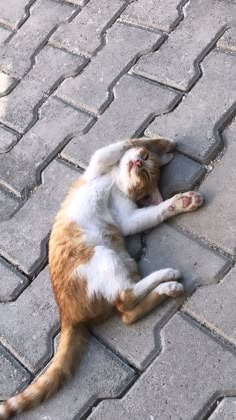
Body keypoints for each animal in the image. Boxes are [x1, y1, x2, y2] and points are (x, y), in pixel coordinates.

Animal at [0, 138, 203, 416]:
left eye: (146, 173)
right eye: (145, 160)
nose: (137, 162)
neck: (113, 183)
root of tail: (67, 314)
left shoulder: (126, 215)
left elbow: (151, 204)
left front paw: (181, 201)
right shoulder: (101, 174)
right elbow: (124, 144)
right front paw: (163, 144)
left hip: (108, 257)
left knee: (126, 303)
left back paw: (168, 282)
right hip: (113, 260)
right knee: (126, 309)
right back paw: (169, 283)